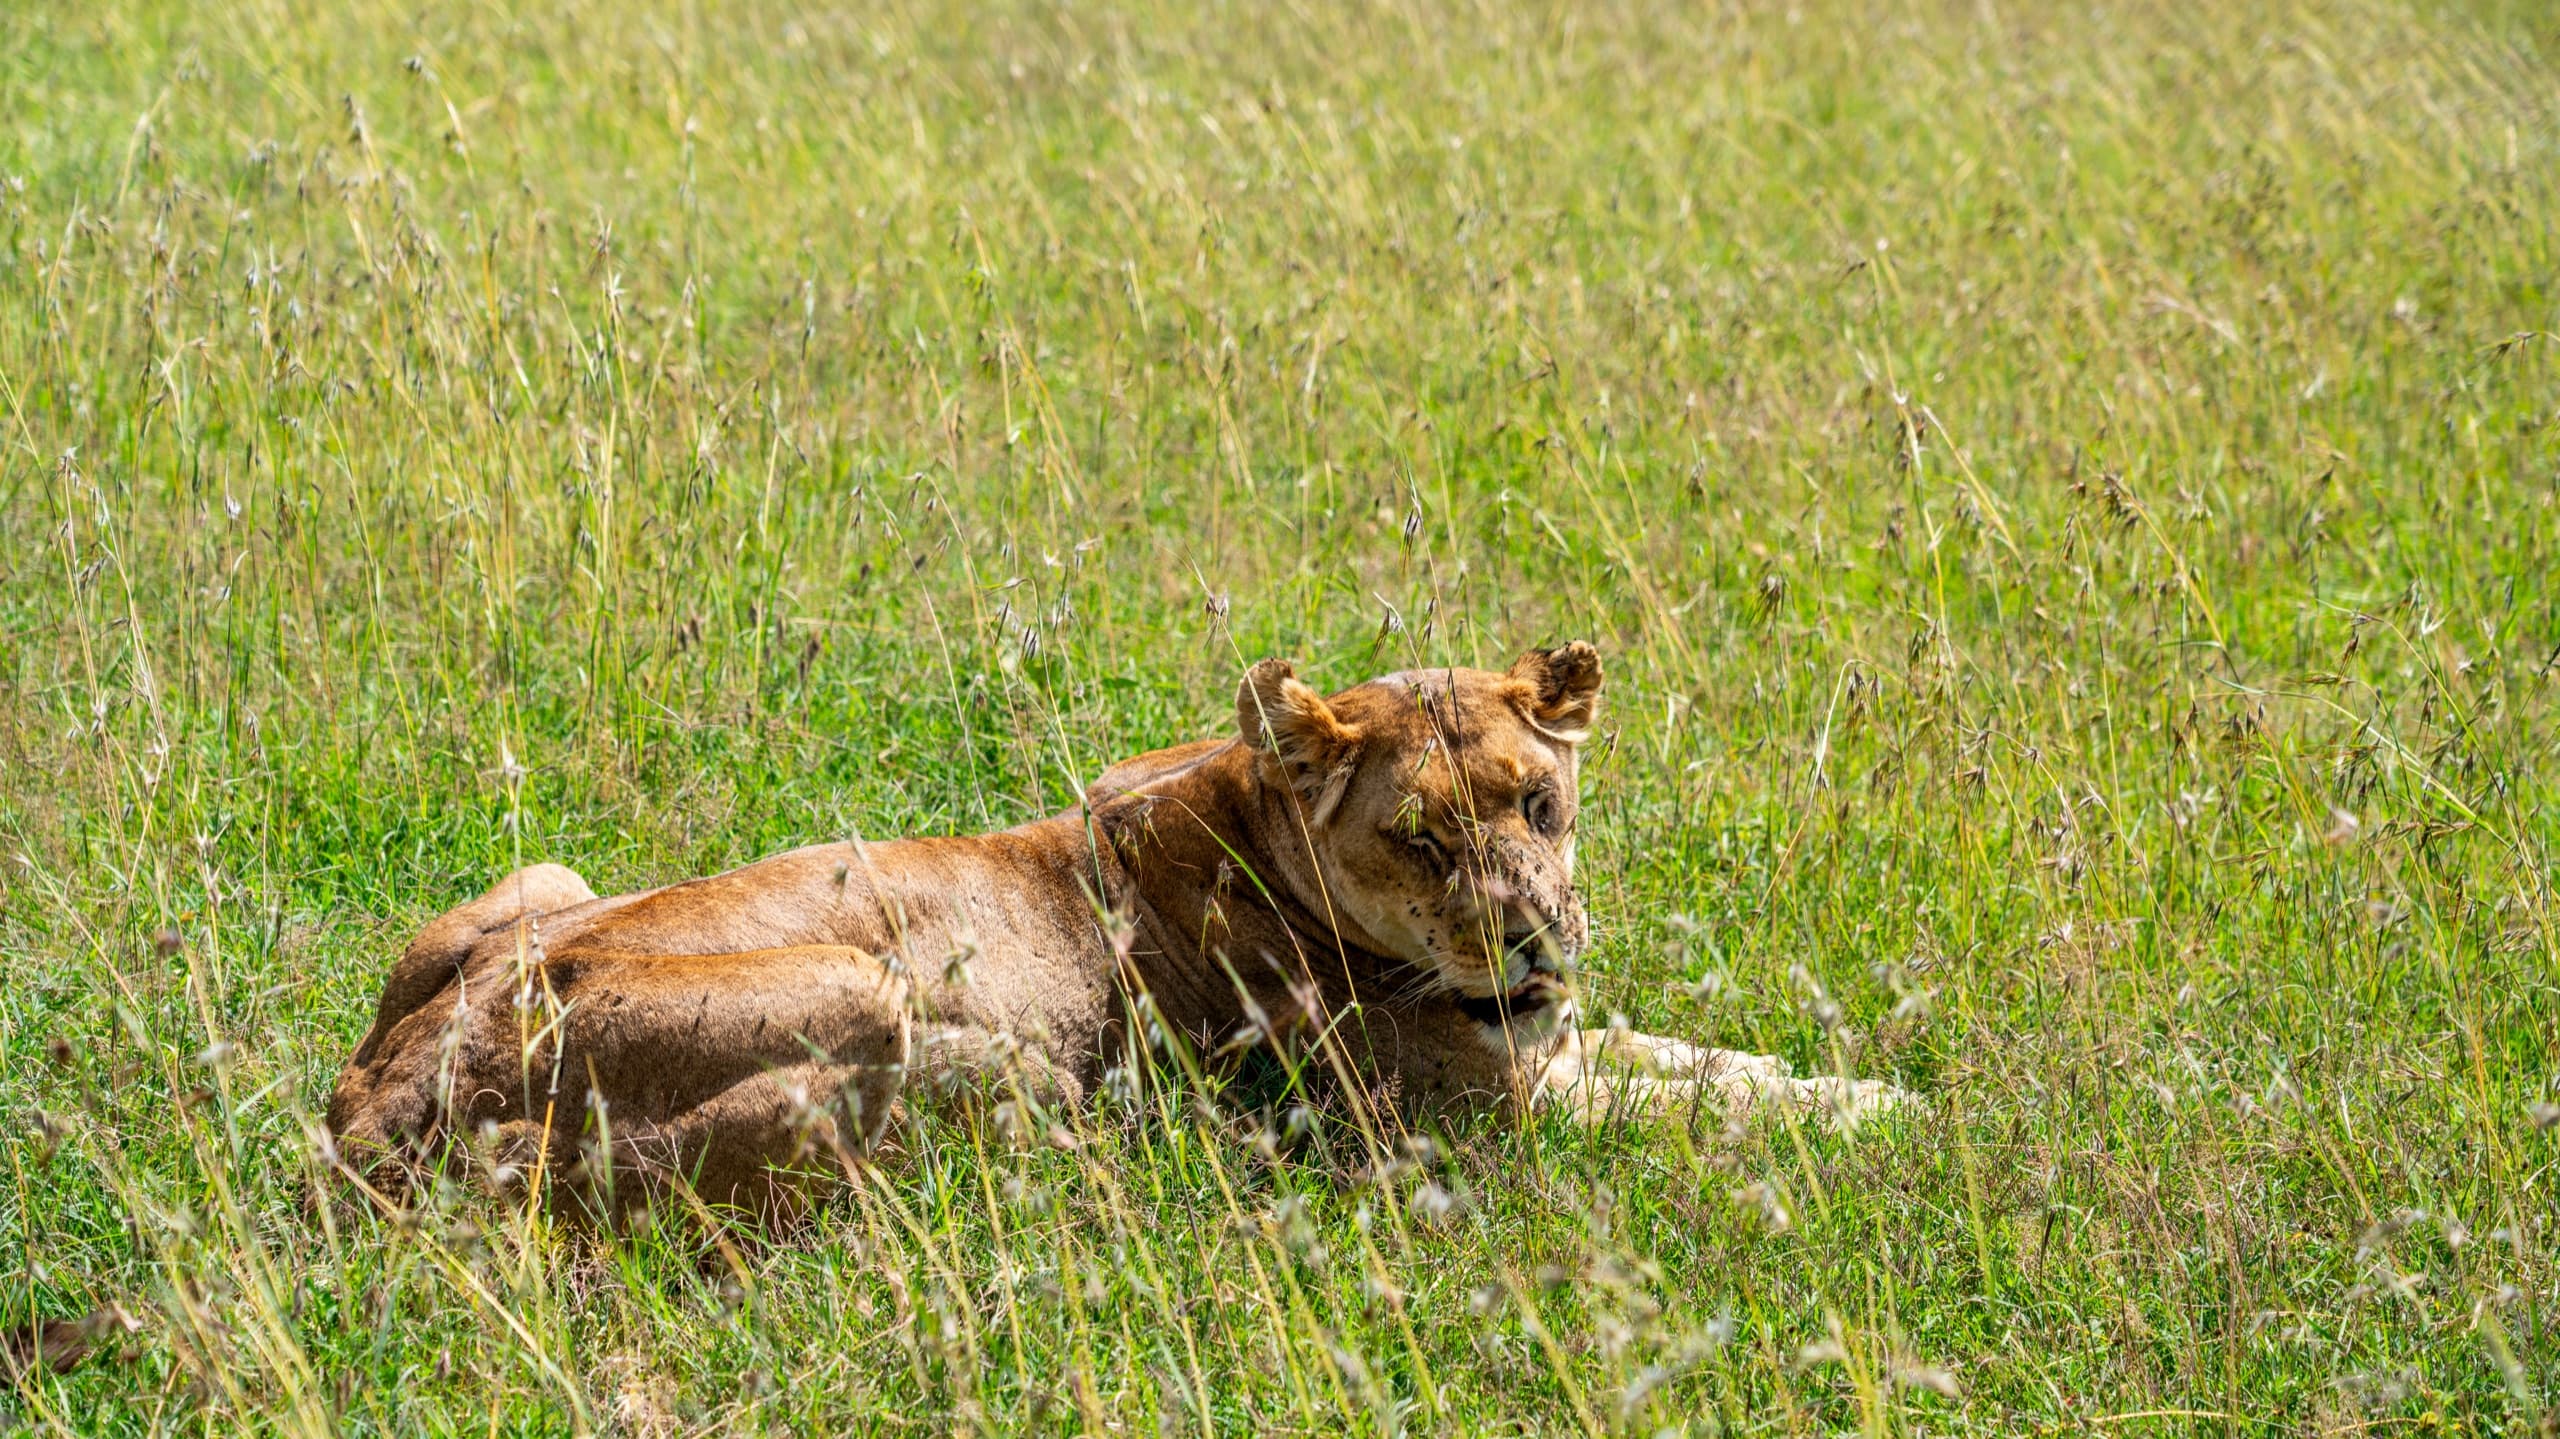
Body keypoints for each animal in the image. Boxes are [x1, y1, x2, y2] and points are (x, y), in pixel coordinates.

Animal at [325, 644, 1903, 1221]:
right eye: (1420, 837)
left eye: (1539, 800)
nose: (1530, 940)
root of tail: (382, 1106)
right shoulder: (1465, 1114)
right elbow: (1692, 1101)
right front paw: (1891, 1115)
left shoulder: (1539, 1046)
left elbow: (1703, 1058)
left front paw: (1861, 1080)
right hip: (882, 988)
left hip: (538, 874)